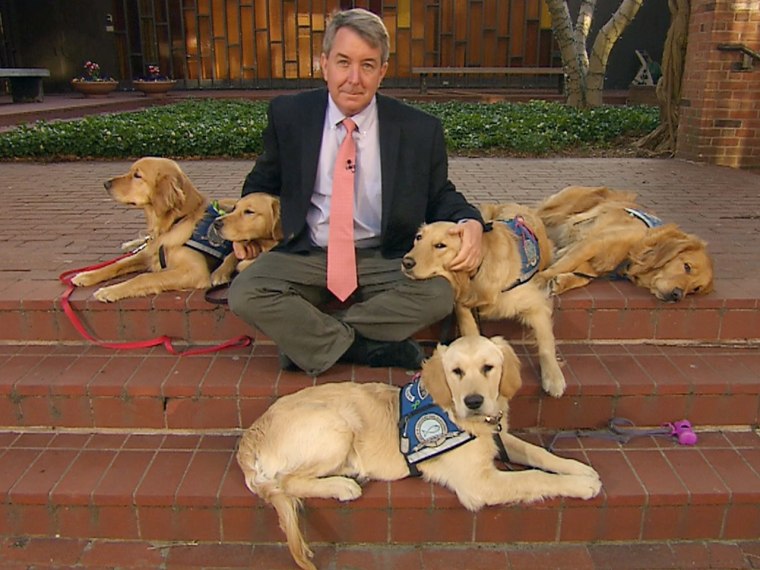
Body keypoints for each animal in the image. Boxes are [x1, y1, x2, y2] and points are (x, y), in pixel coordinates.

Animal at [72, 154, 238, 298]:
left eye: (137, 175)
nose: (106, 183)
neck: (174, 222)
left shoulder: (196, 271)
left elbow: (144, 277)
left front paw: (109, 291)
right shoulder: (147, 254)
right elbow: (116, 264)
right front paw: (85, 276)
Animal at [238, 332, 600, 568]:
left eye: (488, 368)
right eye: (456, 372)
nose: (474, 401)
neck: (463, 418)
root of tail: (250, 435)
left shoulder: (498, 437)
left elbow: (538, 454)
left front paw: (578, 467)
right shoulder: (479, 483)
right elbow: (534, 478)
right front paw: (581, 485)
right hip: (336, 426)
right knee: (286, 481)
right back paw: (342, 486)